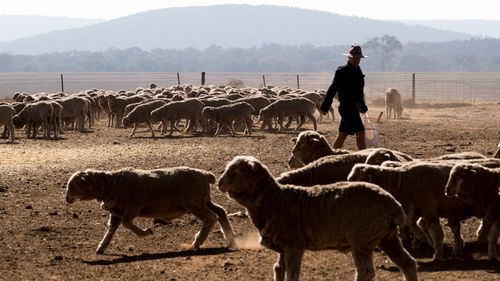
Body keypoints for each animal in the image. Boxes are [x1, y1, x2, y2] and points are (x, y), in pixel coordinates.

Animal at [66, 166, 236, 254]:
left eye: (74, 185)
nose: (67, 199)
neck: (111, 184)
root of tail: (206, 175)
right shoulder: (116, 212)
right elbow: (111, 229)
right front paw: (101, 247)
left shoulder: (134, 206)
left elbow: (127, 223)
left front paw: (146, 232)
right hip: (203, 200)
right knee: (221, 212)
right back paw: (231, 240)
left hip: (194, 202)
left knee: (210, 217)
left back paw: (197, 242)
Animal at [219, 155, 418, 280]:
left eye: (237, 172)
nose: (219, 183)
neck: (274, 199)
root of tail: (393, 203)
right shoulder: (283, 247)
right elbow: (278, 270)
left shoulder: (294, 245)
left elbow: (292, 275)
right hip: (387, 237)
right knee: (408, 264)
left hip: (362, 240)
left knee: (366, 272)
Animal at [348, 162, 480, 260]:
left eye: (359, 180)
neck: (402, 184)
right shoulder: (413, 210)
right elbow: (414, 224)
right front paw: (426, 240)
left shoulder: (428, 209)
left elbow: (435, 231)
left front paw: (437, 253)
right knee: (455, 229)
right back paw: (457, 248)